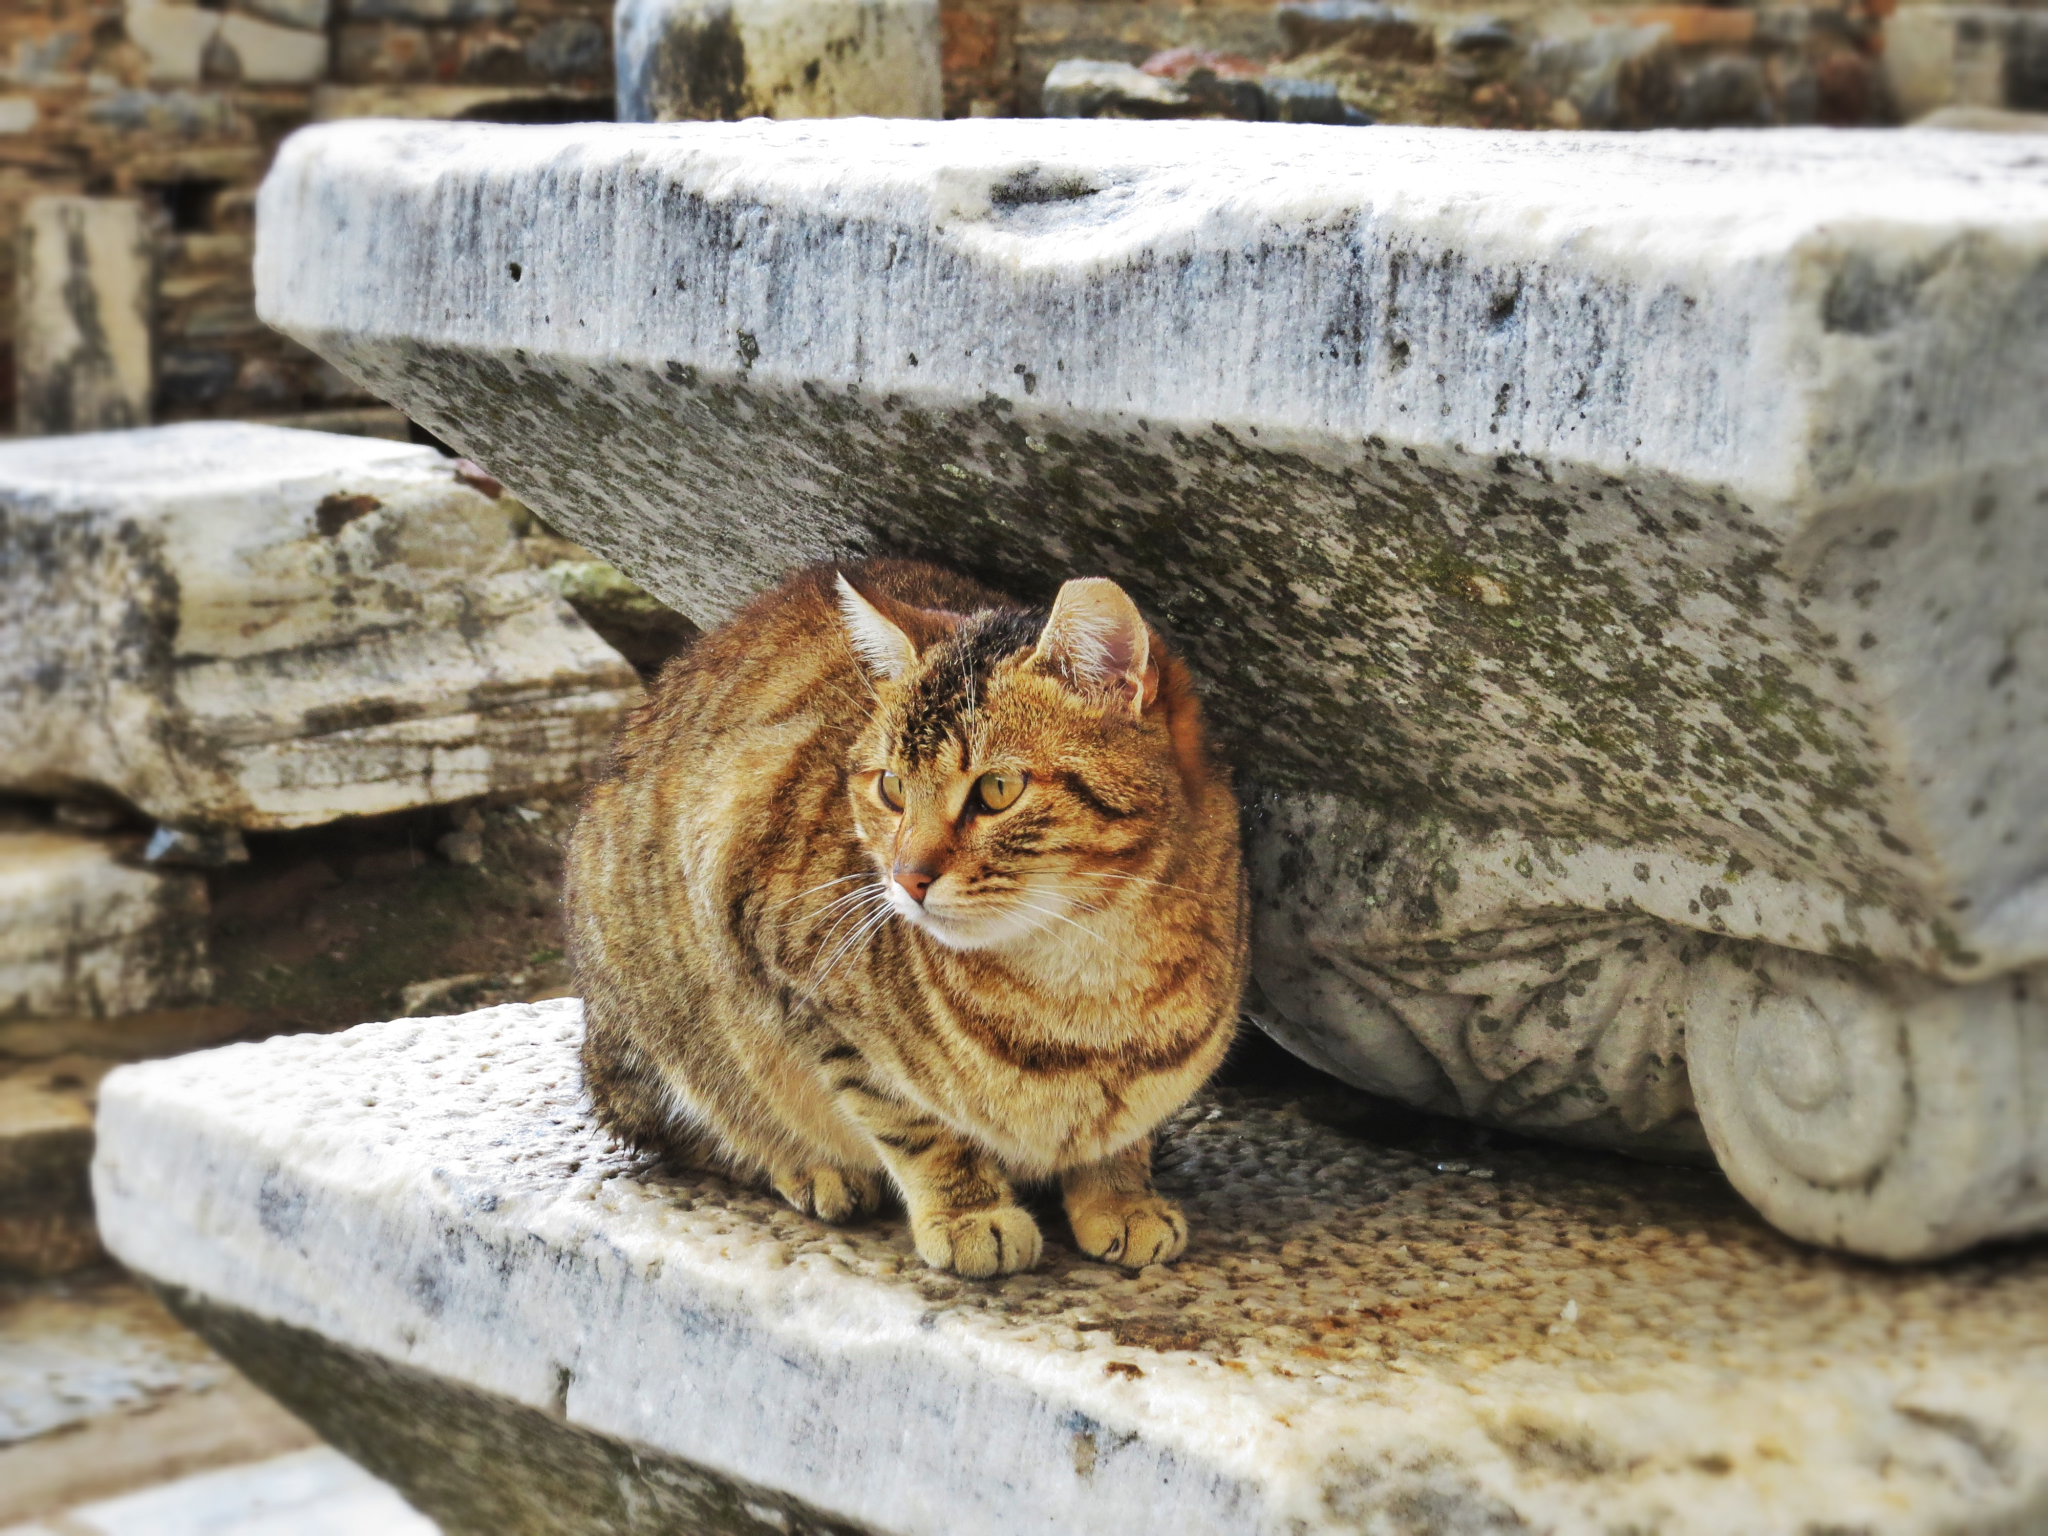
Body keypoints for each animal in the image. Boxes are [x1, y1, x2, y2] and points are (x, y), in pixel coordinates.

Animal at [577, 561, 1245, 1277]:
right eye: (891, 788)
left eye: (998, 790)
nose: (906, 877)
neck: (1084, 987)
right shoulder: (794, 975)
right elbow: (913, 1122)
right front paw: (968, 1213)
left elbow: (1122, 1134)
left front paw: (1120, 1197)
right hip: (655, 1022)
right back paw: (809, 1166)